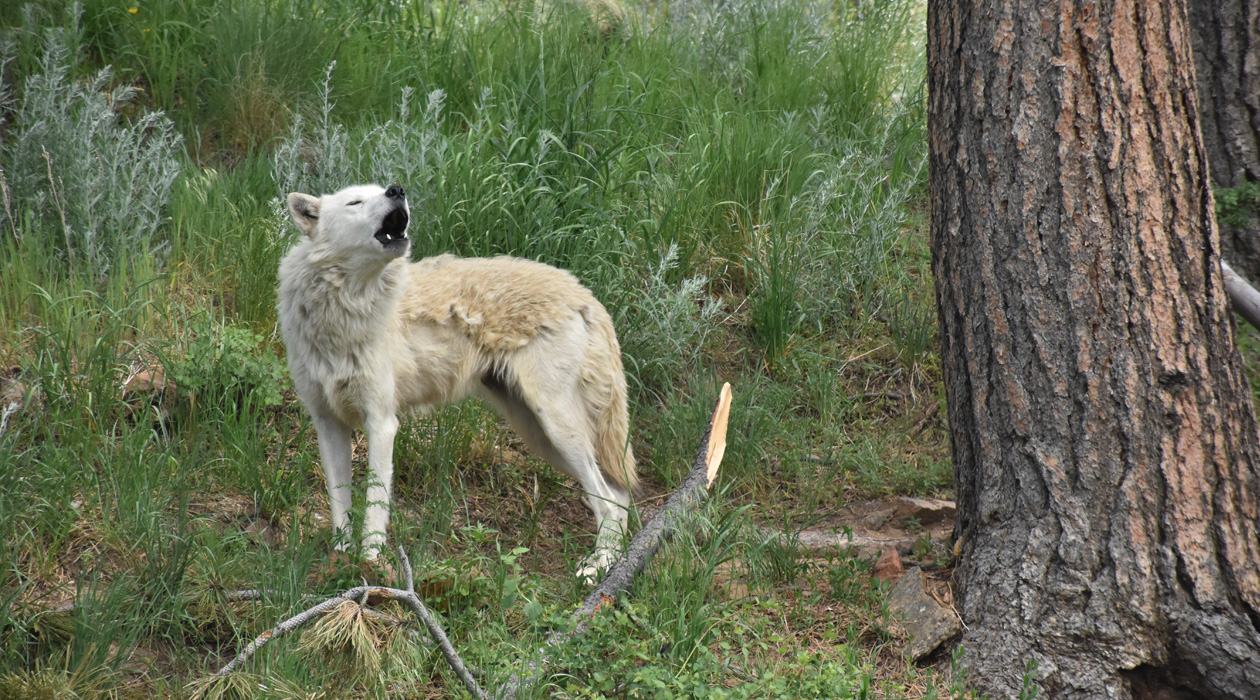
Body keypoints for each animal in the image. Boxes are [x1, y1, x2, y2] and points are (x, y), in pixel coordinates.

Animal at [276, 184, 637, 579]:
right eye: (354, 202)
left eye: (379, 191)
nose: (397, 189)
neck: (344, 313)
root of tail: (585, 294)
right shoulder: (328, 424)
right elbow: (340, 505)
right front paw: (339, 565)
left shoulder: (382, 424)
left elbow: (373, 507)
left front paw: (369, 569)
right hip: (541, 436)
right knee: (619, 497)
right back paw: (611, 562)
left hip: (558, 430)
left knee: (610, 501)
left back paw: (597, 568)